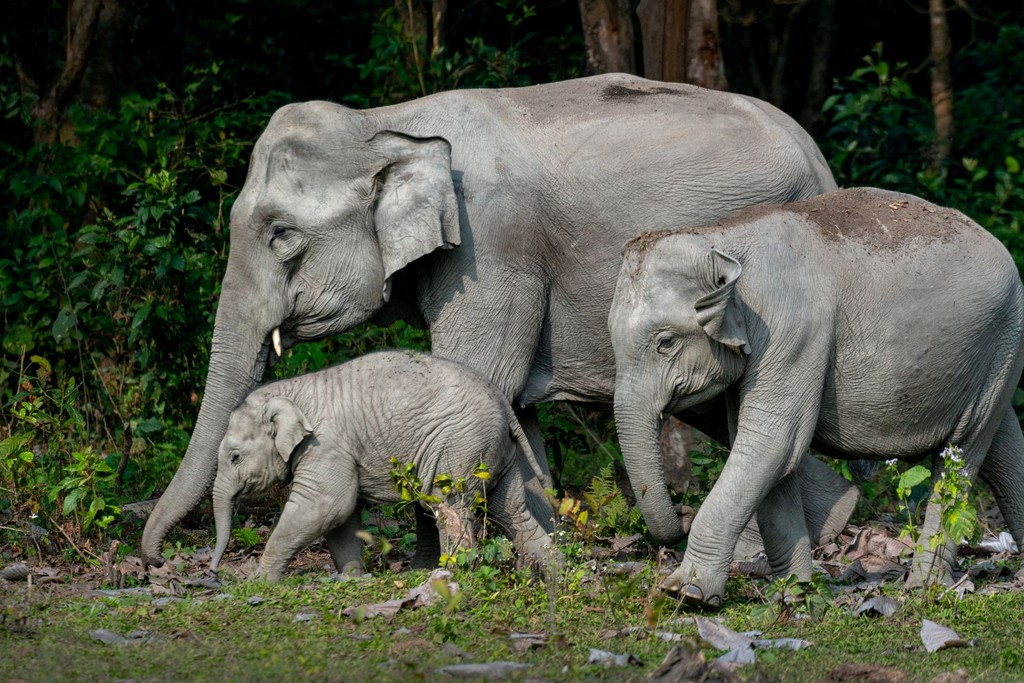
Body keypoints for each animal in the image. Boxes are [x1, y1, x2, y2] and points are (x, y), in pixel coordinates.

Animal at [209, 350, 554, 581]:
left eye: (235, 456)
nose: (213, 572)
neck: (291, 390)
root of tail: (505, 406)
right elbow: (341, 516)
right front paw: (352, 578)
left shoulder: (325, 445)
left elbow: (326, 504)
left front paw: (258, 582)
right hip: (494, 452)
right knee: (511, 510)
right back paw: (553, 579)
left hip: (461, 446)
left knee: (451, 507)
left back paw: (449, 579)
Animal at [608, 186, 1024, 607]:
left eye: (665, 342)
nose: (682, 510)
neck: (719, 237)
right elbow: (771, 456)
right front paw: (792, 592)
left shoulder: (792, 332)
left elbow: (771, 444)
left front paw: (686, 591)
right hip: (992, 354)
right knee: (1002, 444)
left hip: (1004, 336)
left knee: (963, 451)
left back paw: (925, 586)